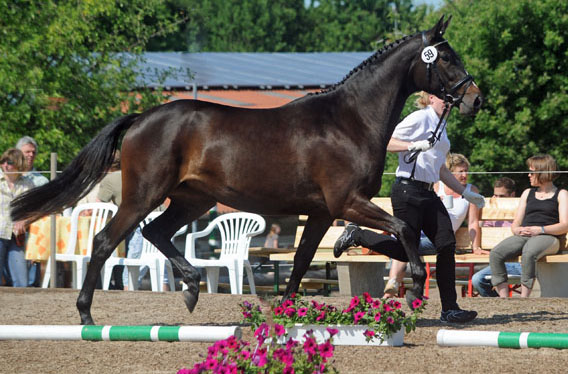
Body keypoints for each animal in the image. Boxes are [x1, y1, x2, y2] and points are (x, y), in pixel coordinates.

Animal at [11, 16, 480, 324]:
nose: (475, 99)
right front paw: (416, 286)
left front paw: (284, 310)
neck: (349, 120)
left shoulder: (323, 211)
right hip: (144, 194)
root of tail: (143, 117)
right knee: (107, 240)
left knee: (156, 232)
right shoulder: (347, 201)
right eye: (446, 58)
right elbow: (403, 230)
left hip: (191, 199)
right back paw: (87, 316)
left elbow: (303, 258)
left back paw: (192, 289)